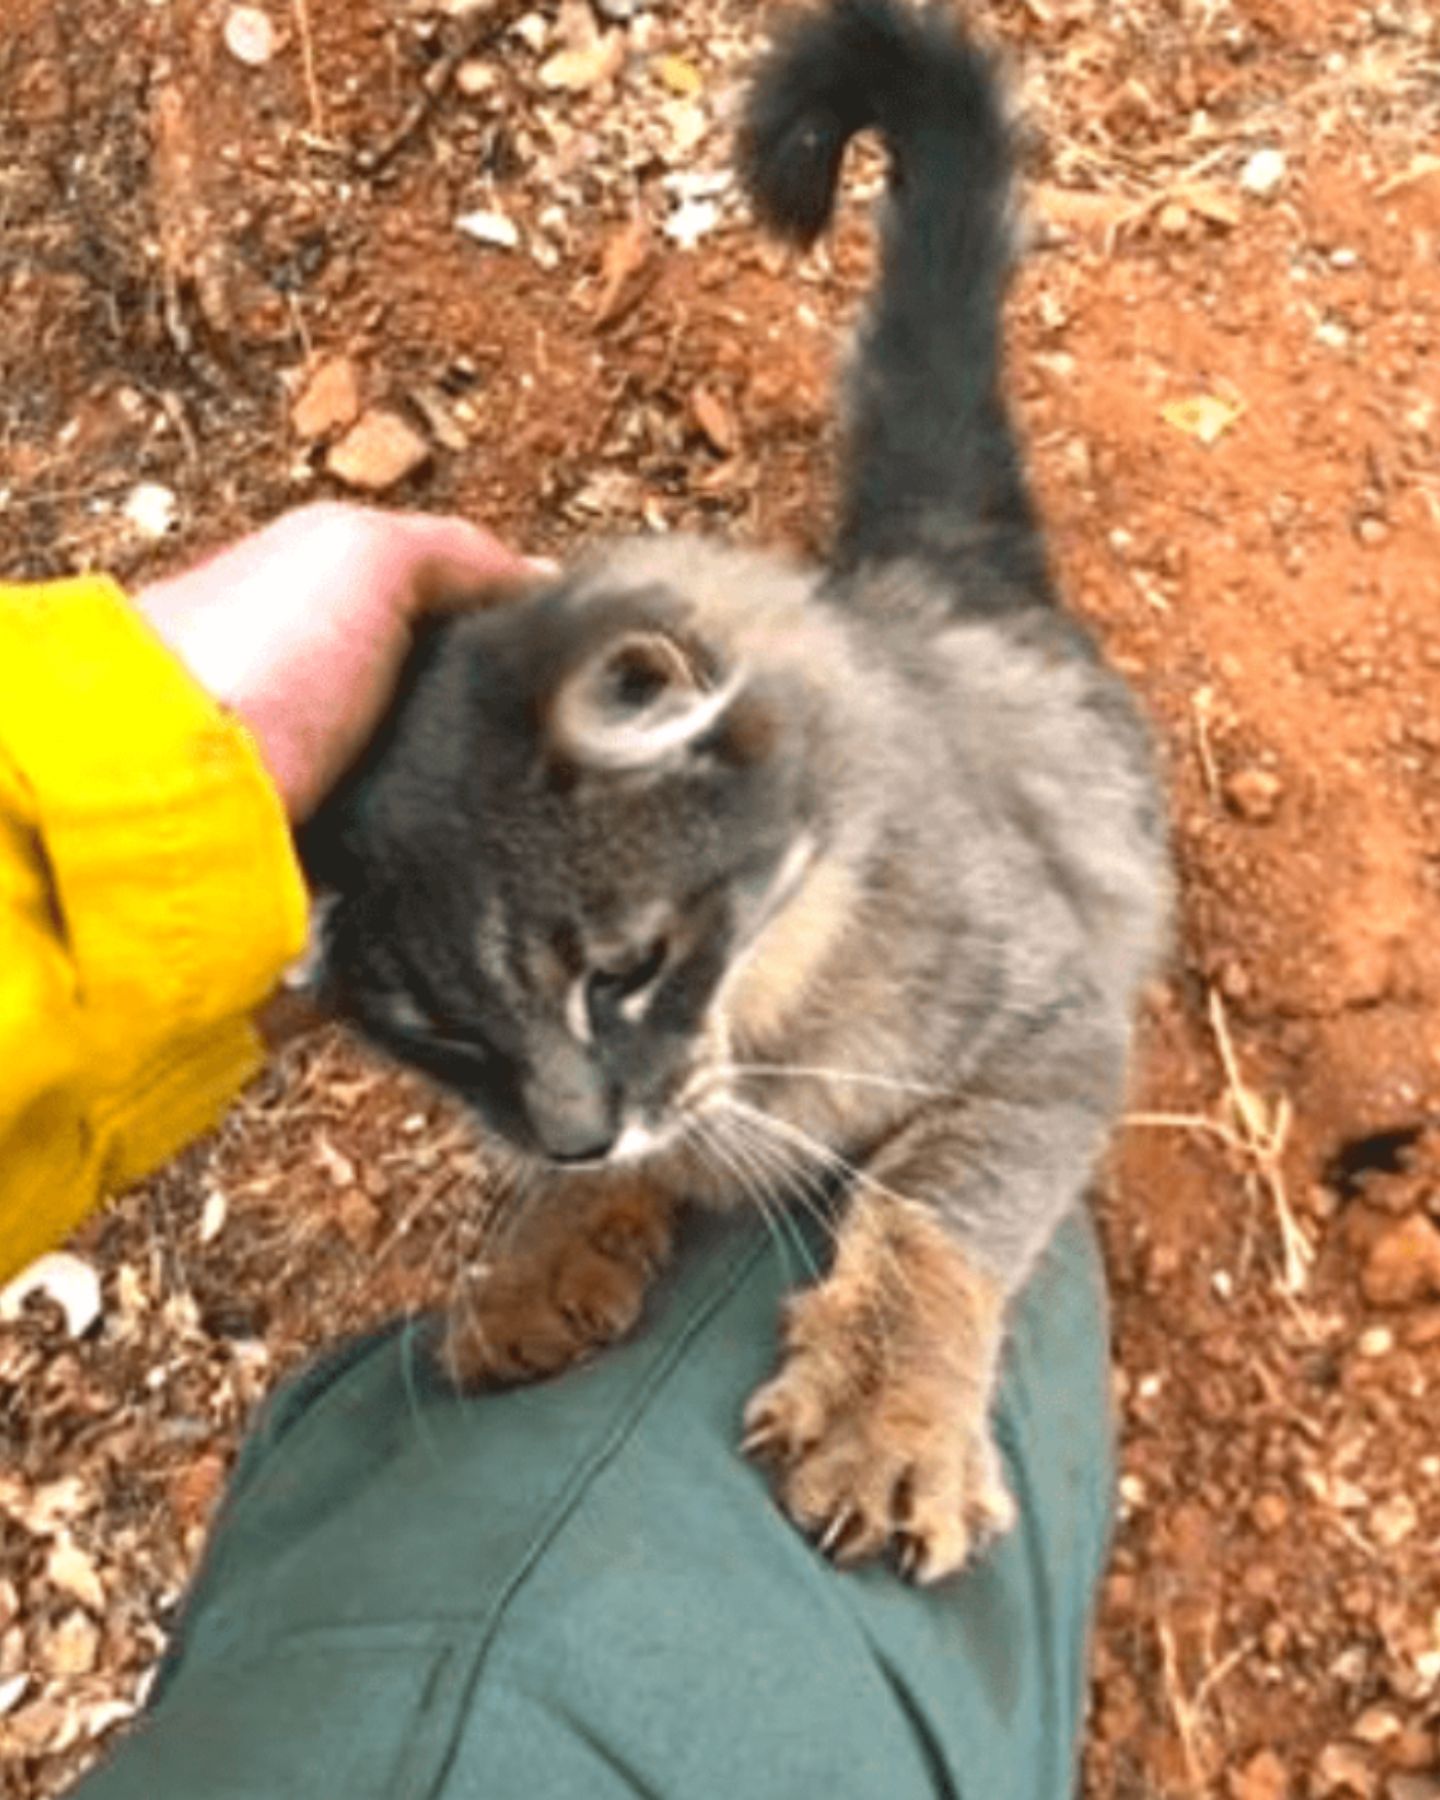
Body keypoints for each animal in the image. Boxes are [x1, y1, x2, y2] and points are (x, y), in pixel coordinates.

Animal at [306, 0, 1166, 1576]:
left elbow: (935, 1201)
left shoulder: (1053, 1028)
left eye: (625, 968)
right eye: (437, 1032)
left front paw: (886, 1411)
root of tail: (929, 553)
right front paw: (540, 1261)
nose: (572, 1130)